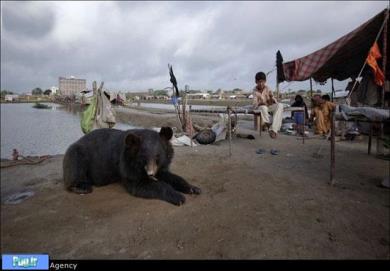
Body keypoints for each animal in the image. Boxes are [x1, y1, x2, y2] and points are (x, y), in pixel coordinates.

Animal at [63, 127, 201, 206]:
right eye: (143, 157)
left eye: (157, 156)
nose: (151, 174)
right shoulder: (126, 162)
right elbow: (139, 184)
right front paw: (179, 197)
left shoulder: (162, 164)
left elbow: (170, 176)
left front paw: (194, 188)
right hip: (77, 153)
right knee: (76, 168)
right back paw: (82, 188)